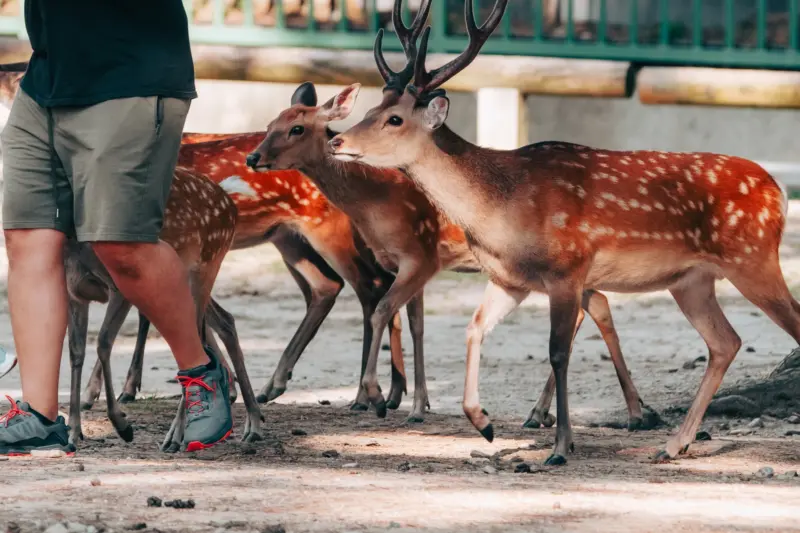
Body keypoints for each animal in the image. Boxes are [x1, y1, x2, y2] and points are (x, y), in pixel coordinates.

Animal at [245, 0, 664, 428]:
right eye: (373, 107)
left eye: (296, 128)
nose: (338, 142)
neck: (375, 206)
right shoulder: (406, 262)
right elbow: (413, 322)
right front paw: (410, 401)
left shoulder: (421, 256)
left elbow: (384, 311)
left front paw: (385, 399)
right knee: (597, 304)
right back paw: (616, 410)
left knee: (587, 309)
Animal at [328, 0, 796, 464]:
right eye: (368, 110)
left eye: (394, 119)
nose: (337, 141)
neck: (503, 211)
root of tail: (779, 190)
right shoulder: (511, 279)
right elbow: (474, 328)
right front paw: (484, 423)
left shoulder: (567, 270)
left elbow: (557, 351)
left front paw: (559, 446)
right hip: (692, 281)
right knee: (725, 341)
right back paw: (674, 443)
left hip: (752, 257)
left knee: (784, 323)